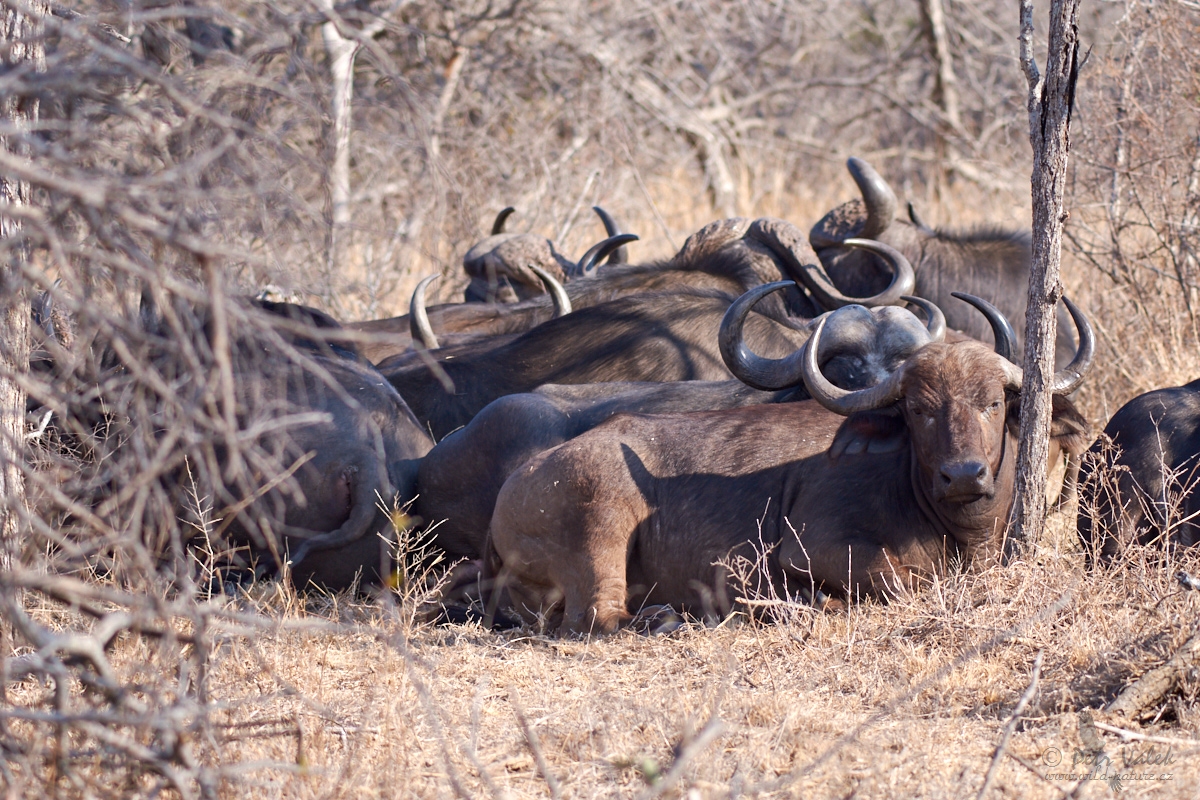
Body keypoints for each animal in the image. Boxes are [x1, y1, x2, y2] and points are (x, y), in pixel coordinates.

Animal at [482, 293, 1094, 633]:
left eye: (992, 403)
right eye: (919, 409)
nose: (963, 474)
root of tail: (514, 486)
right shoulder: (812, 547)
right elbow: (901, 580)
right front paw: (806, 604)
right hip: (601, 530)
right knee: (597, 619)